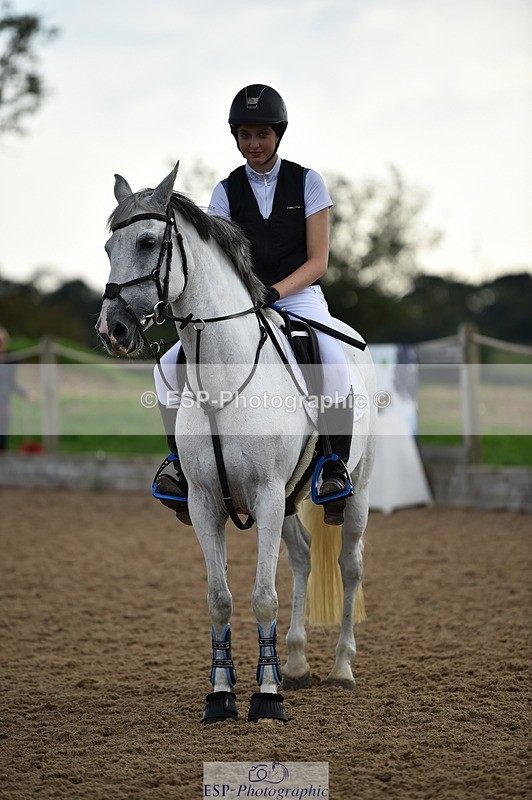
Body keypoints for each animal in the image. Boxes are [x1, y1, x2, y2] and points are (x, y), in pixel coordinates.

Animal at [96, 163, 376, 725]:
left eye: (148, 240)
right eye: (108, 246)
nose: (111, 329)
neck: (224, 375)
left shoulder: (265, 495)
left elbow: (263, 597)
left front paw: (266, 697)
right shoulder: (207, 502)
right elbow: (219, 598)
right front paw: (221, 693)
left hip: (353, 492)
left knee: (349, 566)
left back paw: (341, 669)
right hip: (288, 502)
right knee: (303, 559)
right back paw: (296, 665)